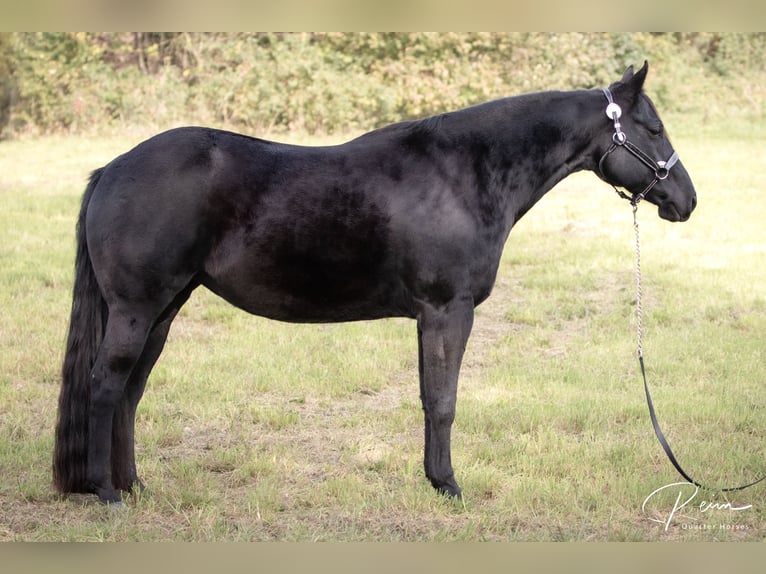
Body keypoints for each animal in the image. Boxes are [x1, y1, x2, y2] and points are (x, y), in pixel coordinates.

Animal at [57, 60, 700, 506]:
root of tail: (111, 169)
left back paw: (133, 485)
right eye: (654, 128)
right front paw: (449, 486)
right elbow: (443, 401)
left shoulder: (430, 316)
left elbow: (429, 397)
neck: (461, 174)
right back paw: (107, 494)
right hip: (138, 309)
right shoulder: (448, 310)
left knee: (131, 392)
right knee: (107, 387)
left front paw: (434, 479)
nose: (687, 200)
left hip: (163, 310)